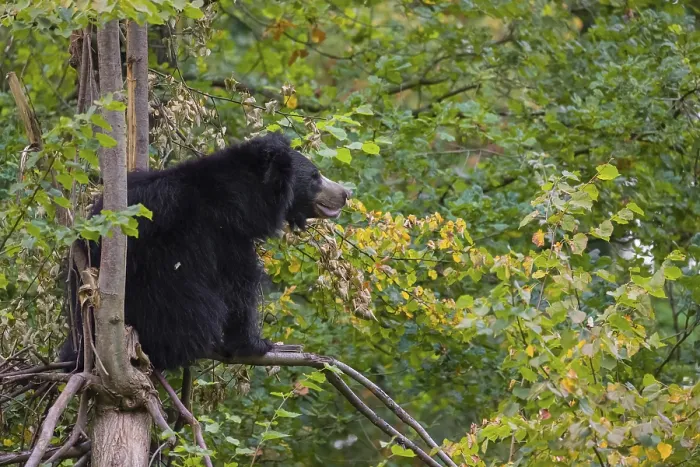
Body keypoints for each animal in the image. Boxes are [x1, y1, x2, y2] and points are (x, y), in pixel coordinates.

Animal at [60, 133, 350, 370]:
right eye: (315, 176)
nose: (345, 193)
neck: (241, 201)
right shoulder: (220, 233)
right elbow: (239, 285)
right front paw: (257, 343)